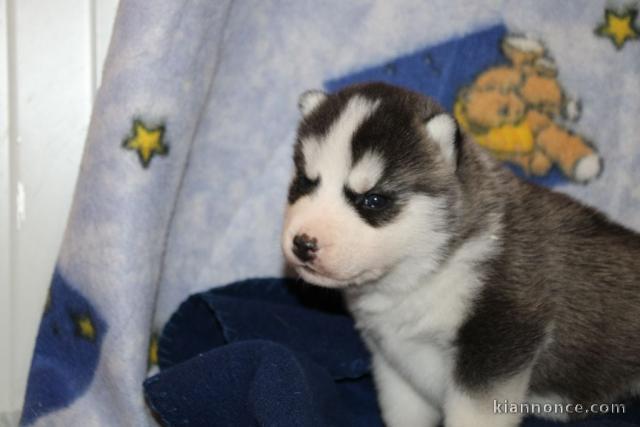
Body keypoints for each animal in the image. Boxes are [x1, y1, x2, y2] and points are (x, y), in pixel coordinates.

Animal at [282, 83, 640, 427]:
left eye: (373, 200)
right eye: (305, 181)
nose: (303, 243)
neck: (424, 275)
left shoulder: (497, 342)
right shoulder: (395, 366)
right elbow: (404, 412)